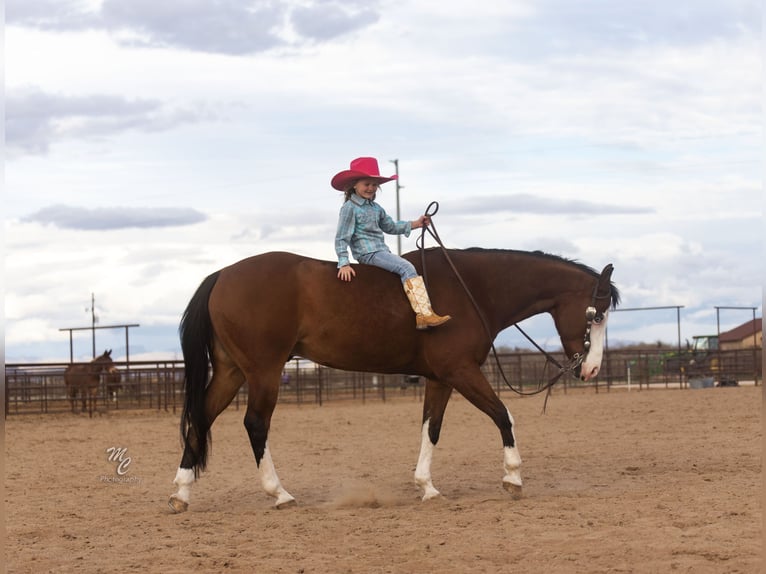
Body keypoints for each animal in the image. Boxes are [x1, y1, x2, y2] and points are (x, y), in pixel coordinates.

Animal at [171, 248, 620, 512]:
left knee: (201, 418)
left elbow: (431, 429)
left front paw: (427, 487)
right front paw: (512, 477)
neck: (473, 288)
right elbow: (503, 415)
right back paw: (278, 493)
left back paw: (181, 492)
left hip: (232, 371)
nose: (591, 370)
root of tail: (222, 274)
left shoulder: (441, 379)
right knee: (255, 424)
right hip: (264, 371)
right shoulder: (462, 371)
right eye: (596, 315)